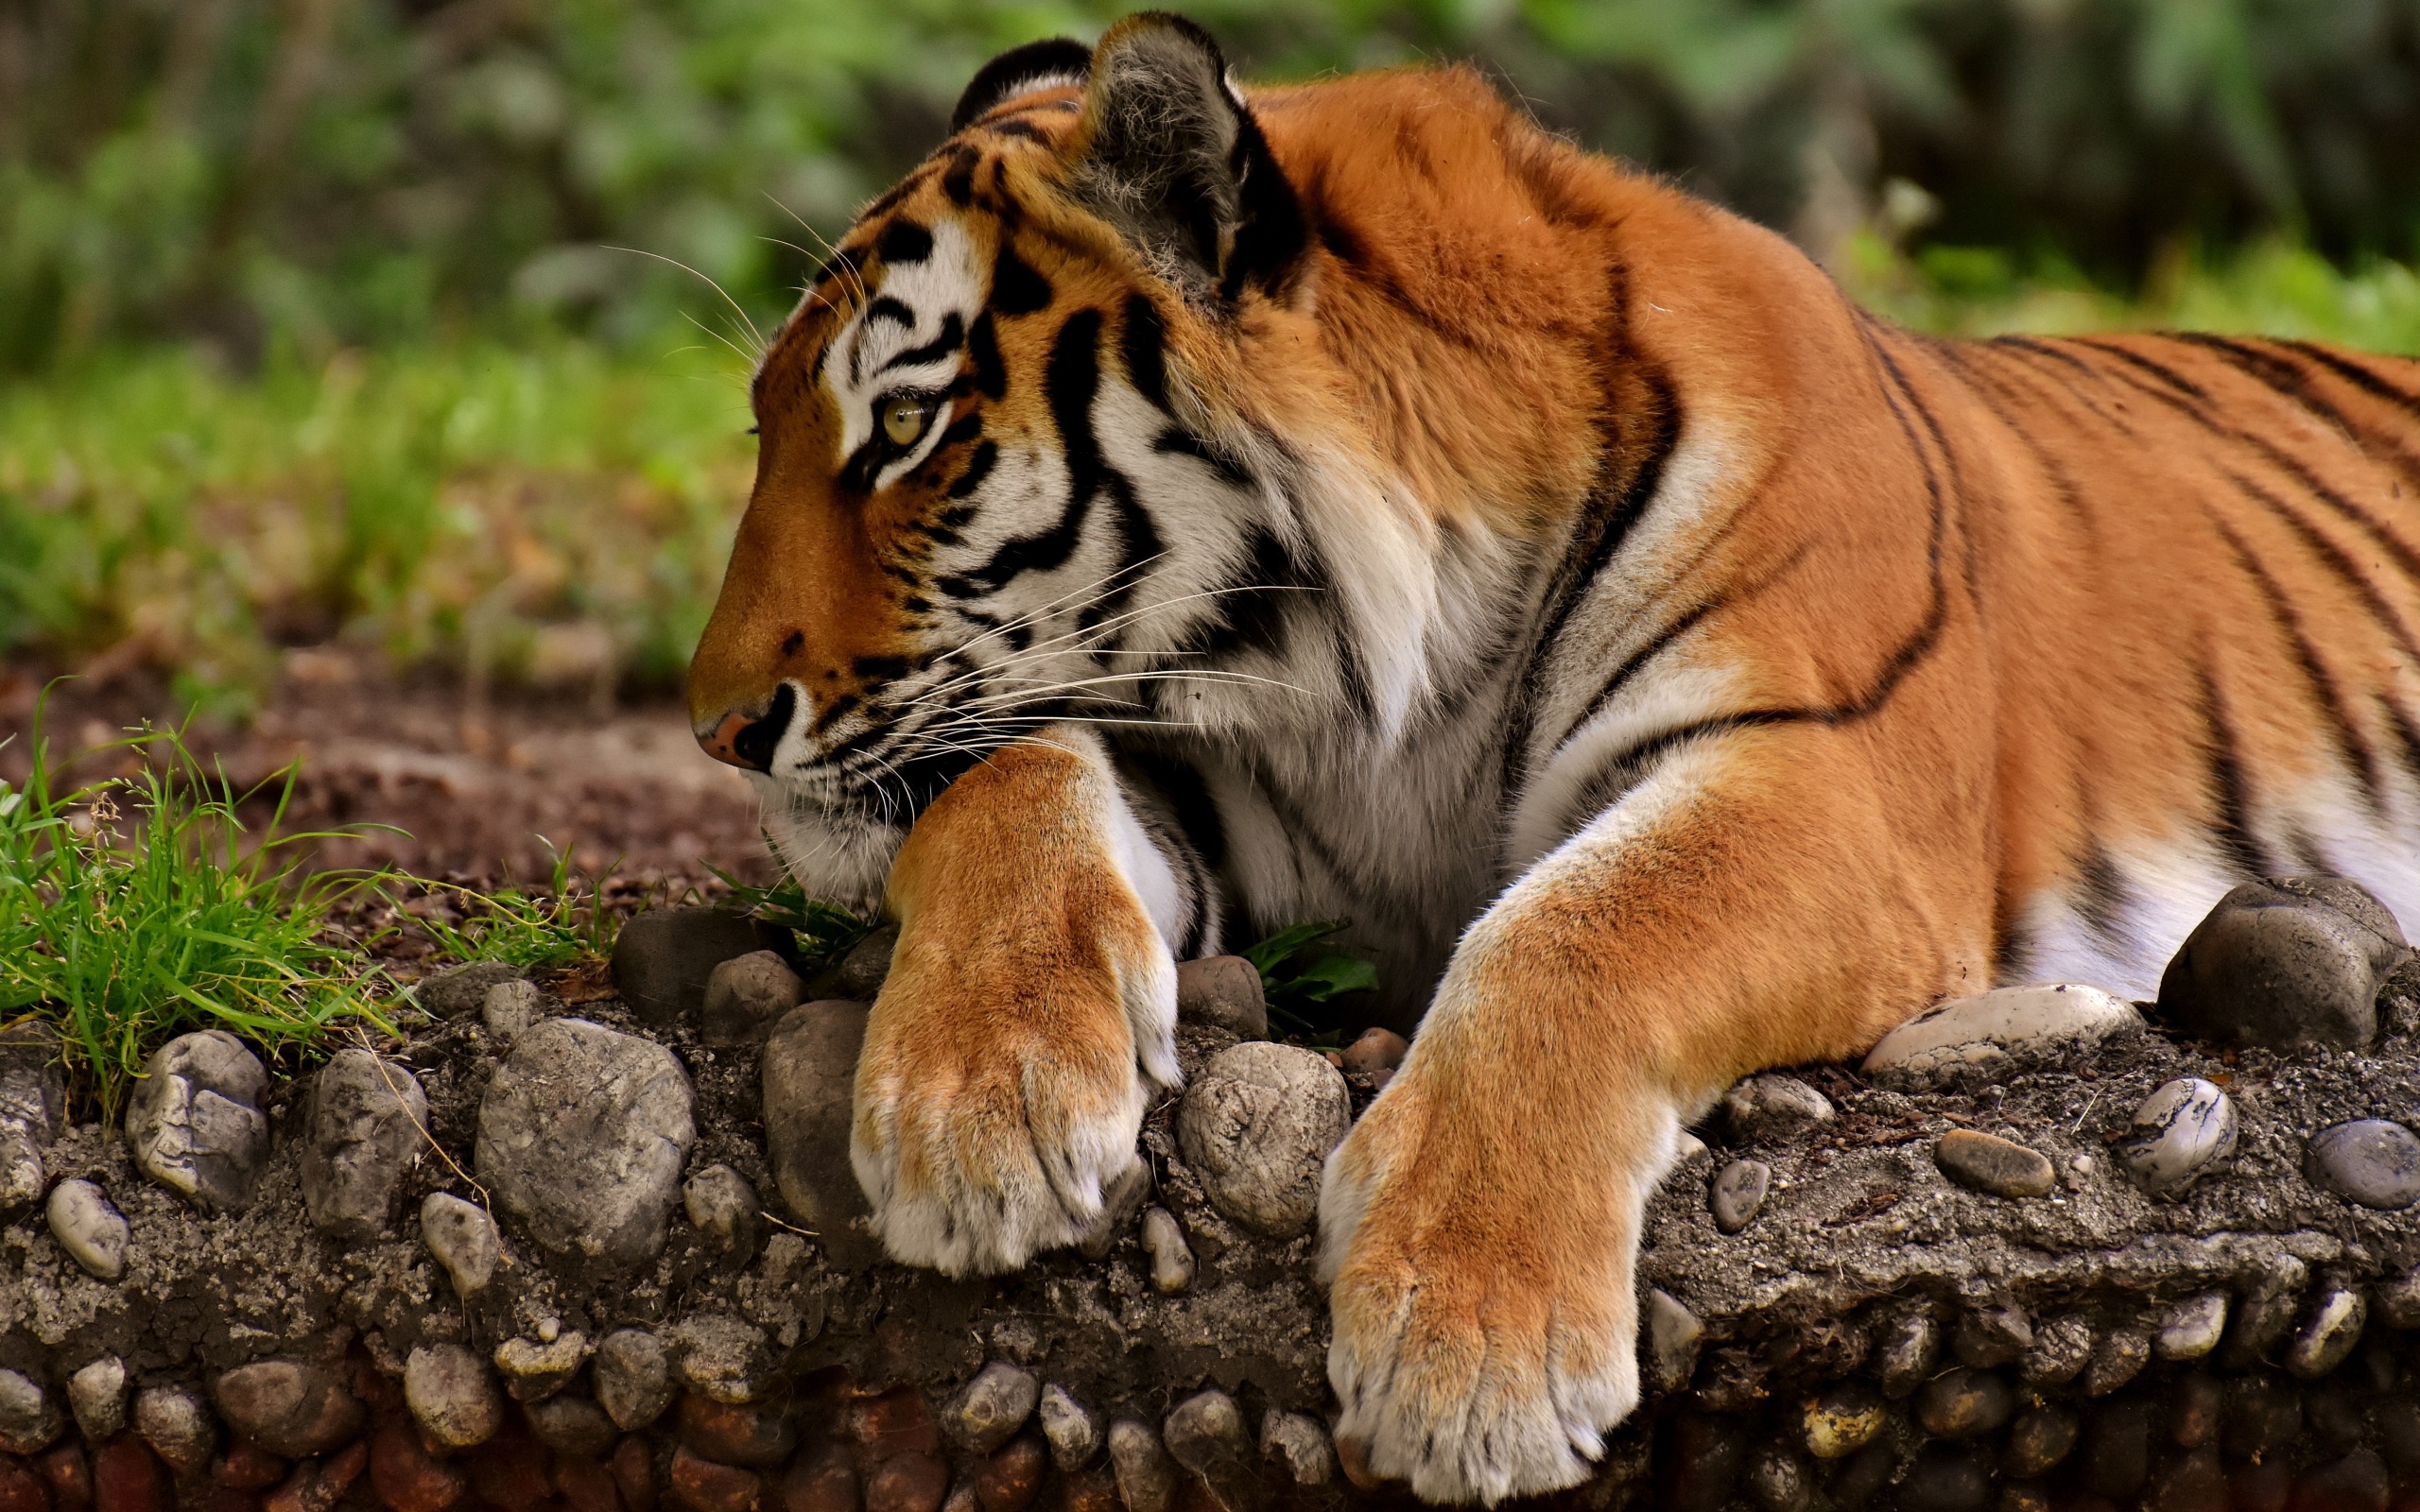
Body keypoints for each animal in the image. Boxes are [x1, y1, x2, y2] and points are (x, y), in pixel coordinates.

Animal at [682, 17, 2420, 1500]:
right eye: (766, 422)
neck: (1376, 680)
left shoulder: (1819, 782)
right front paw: (978, 1109)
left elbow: (1580, 932)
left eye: (906, 434)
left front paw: (1468, 1350)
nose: (714, 727)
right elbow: (1009, 780)